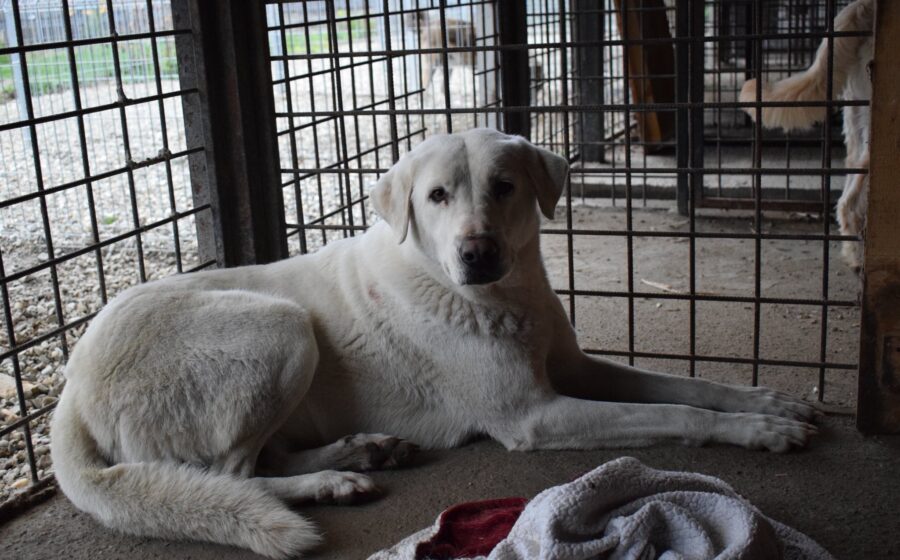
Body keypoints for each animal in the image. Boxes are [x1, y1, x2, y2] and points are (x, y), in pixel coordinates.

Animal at [51, 129, 818, 558]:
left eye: (504, 187)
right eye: (437, 197)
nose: (477, 254)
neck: (499, 298)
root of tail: (70, 392)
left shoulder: (573, 368)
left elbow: (690, 386)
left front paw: (769, 403)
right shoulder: (536, 415)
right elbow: (677, 413)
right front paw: (759, 433)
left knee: (258, 458)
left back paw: (363, 452)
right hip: (278, 326)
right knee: (231, 475)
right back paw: (328, 483)